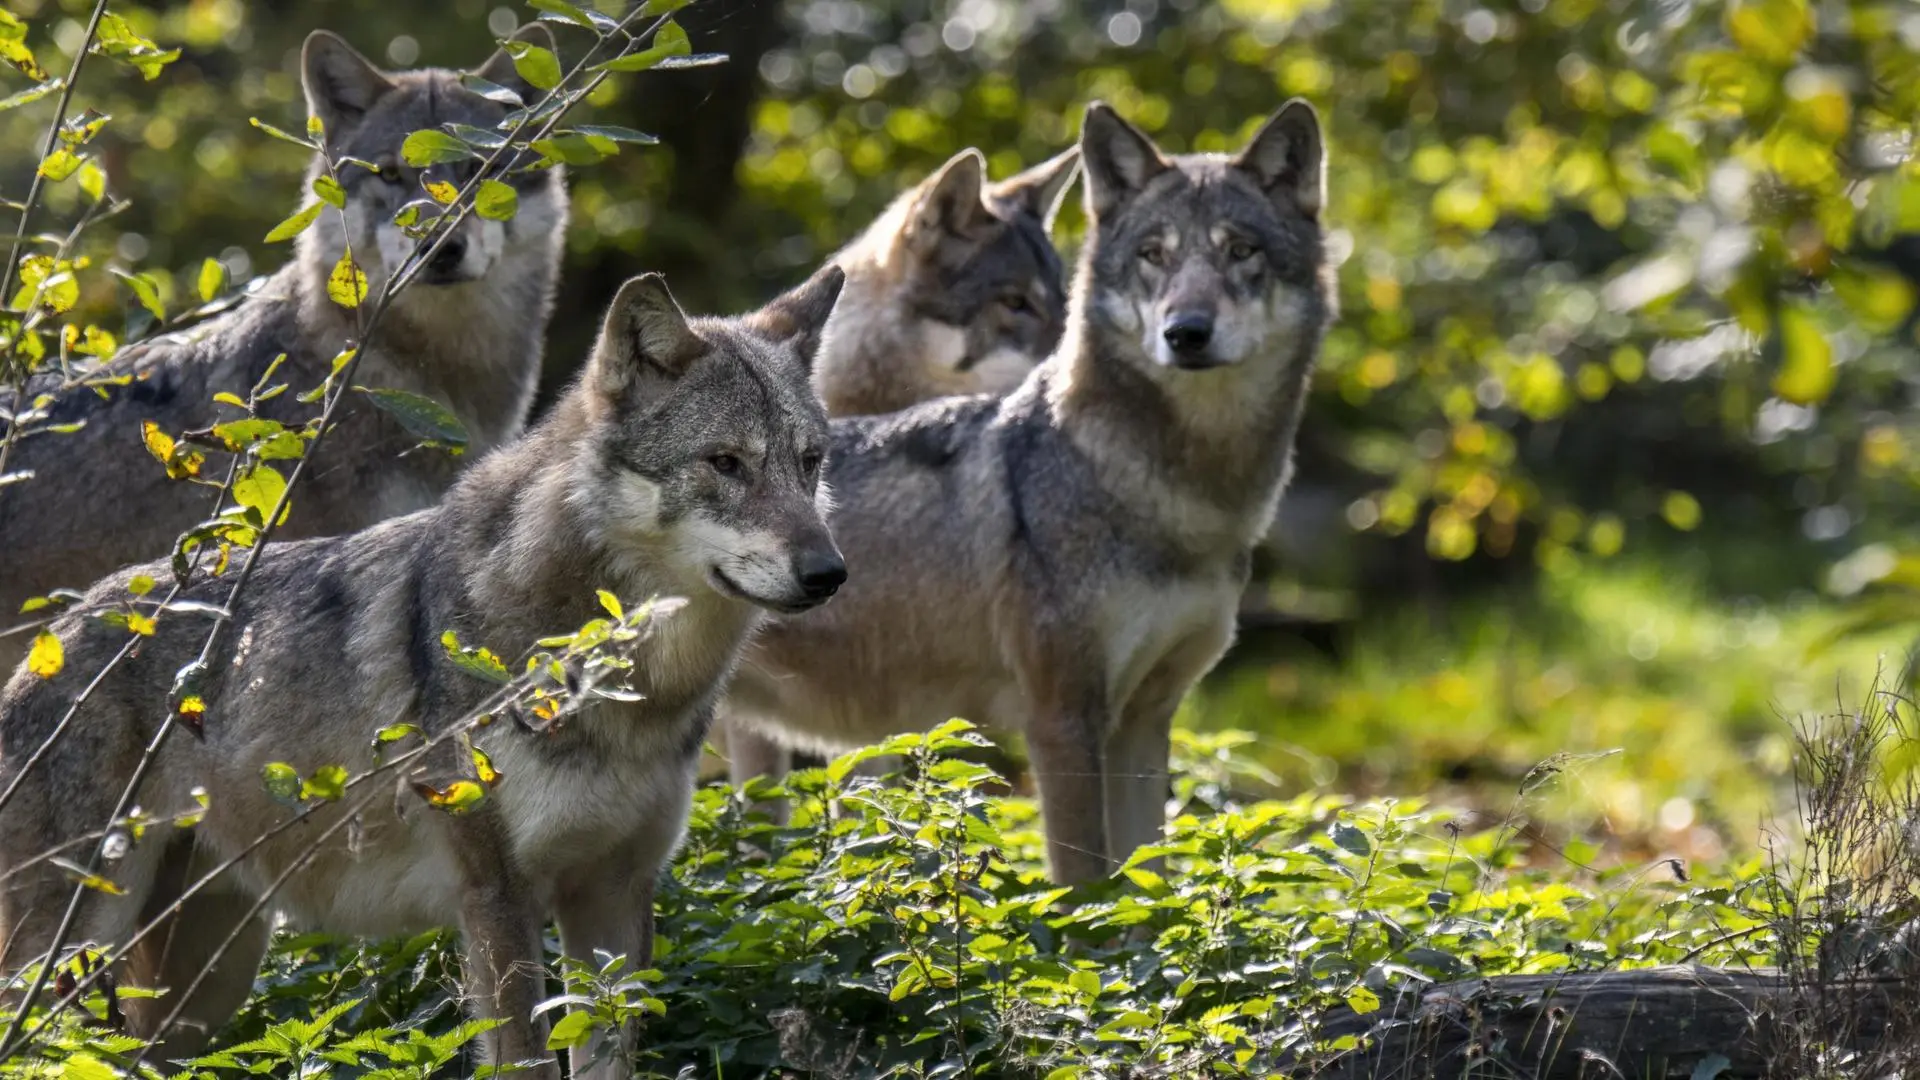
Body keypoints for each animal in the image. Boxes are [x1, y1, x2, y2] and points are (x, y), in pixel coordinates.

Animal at [0, 263, 848, 1068]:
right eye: (726, 463)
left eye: (810, 463)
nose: (829, 573)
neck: (628, 690)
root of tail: (58, 630)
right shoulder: (496, 897)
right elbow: (524, 1061)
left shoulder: (614, 893)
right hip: (69, 955)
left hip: (204, 985)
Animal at [721, 98, 1336, 883]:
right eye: (1154, 256)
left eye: (1241, 251)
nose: (1187, 332)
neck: (1185, 502)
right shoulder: (1061, 720)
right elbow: (1085, 886)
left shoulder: (1144, 722)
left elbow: (1148, 882)